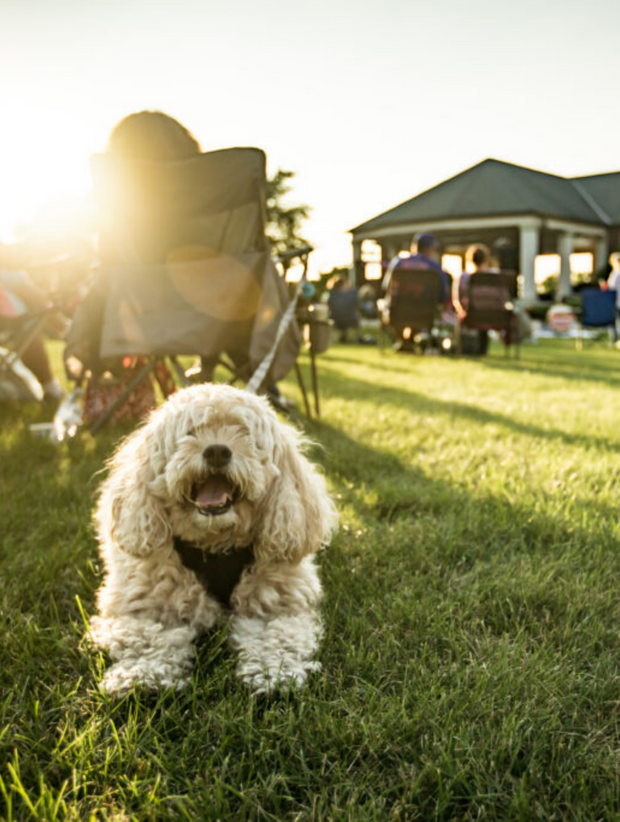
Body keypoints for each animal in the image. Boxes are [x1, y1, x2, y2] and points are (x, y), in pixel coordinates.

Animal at [88, 384, 334, 696]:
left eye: (244, 432)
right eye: (190, 431)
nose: (217, 450)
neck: (214, 545)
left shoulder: (279, 606)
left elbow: (278, 637)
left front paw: (273, 673)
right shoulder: (145, 608)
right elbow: (149, 639)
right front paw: (144, 675)